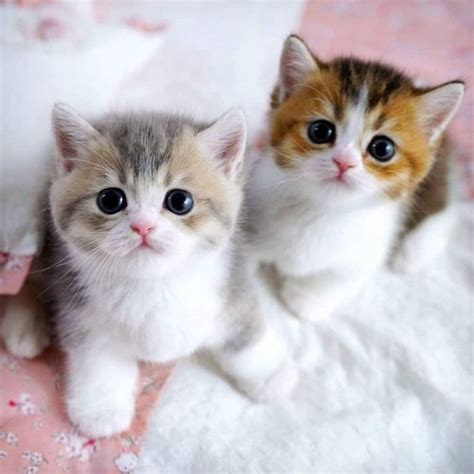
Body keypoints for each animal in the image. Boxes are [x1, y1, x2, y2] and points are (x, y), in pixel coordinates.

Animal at [0, 103, 296, 436]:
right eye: (110, 199)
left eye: (180, 200)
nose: (143, 226)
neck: (155, 284)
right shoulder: (81, 312)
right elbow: (97, 361)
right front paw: (101, 409)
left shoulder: (232, 286)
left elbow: (245, 333)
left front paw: (270, 372)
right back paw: (24, 328)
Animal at [248, 36, 462, 322]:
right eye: (320, 131)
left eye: (382, 148)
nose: (344, 162)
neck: (322, 210)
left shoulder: (367, 251)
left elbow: (341, 279)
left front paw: (305, 299)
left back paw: (411, 253)